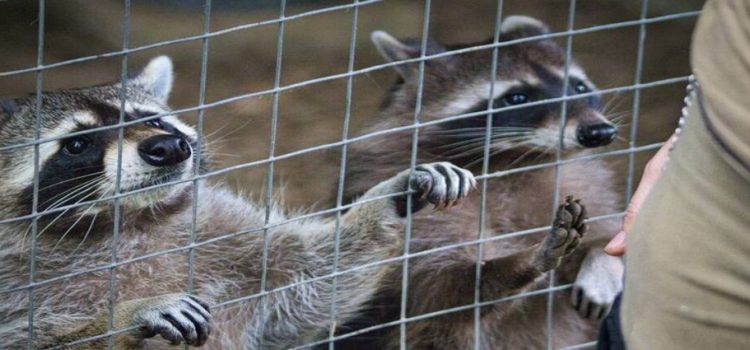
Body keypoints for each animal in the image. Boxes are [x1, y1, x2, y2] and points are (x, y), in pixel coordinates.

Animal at [0, 56, 482, 348]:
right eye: (77, 144)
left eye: (153, 120)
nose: (168, 147)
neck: (128, 221)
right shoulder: (15, 286)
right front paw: (124, 315)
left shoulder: (221, 231)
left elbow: (308, 282)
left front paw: (388, 199)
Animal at [336, 15, 628, 348]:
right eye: (517, 98)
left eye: (579, 86)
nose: (599, 132)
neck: (518, 160)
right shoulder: (422, 216)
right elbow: (447, 292)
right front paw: (525, 260)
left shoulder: (579, 184)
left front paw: (602, 258)